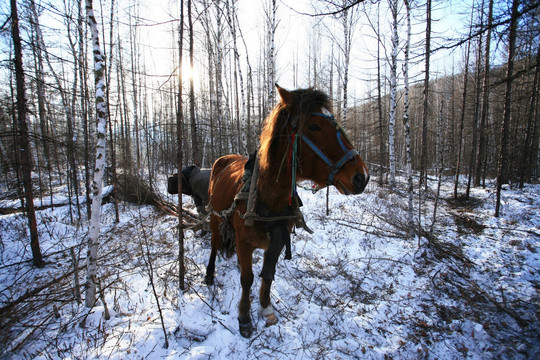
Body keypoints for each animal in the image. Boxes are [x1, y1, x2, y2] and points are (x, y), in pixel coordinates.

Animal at [205, 84, 370, 338]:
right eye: (314, 126)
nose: (361, 176)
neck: (266, 196)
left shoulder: (278, 239)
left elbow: (268, 274)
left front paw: (265, 308)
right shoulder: (244, 242)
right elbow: (247, 279)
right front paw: (244, 317)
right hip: (215, 218)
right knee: (214, 243)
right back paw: (210, 273)